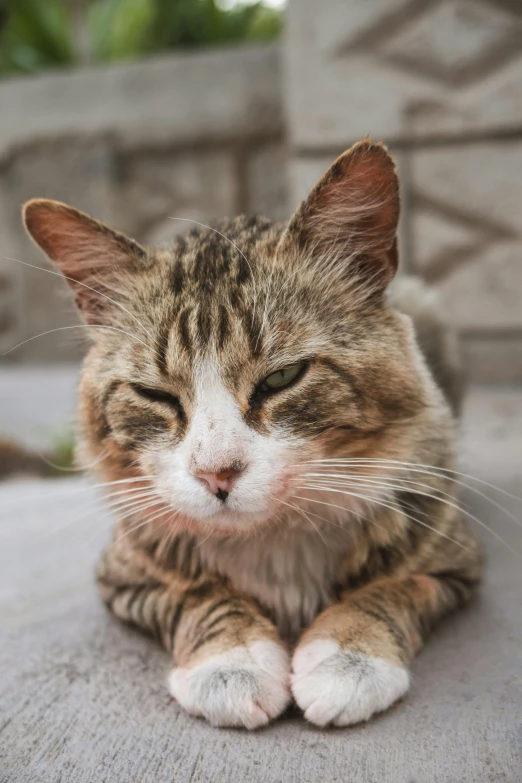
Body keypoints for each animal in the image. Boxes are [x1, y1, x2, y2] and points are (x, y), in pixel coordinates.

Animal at [23, 139, 480, 728]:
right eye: (154, 395)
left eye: (282, 377)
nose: (216, 474)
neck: (273, 538)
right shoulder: (125, 575)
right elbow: (197, 594)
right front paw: (232, 661)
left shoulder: (454, 563)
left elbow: (391, 588)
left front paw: (348, 657)